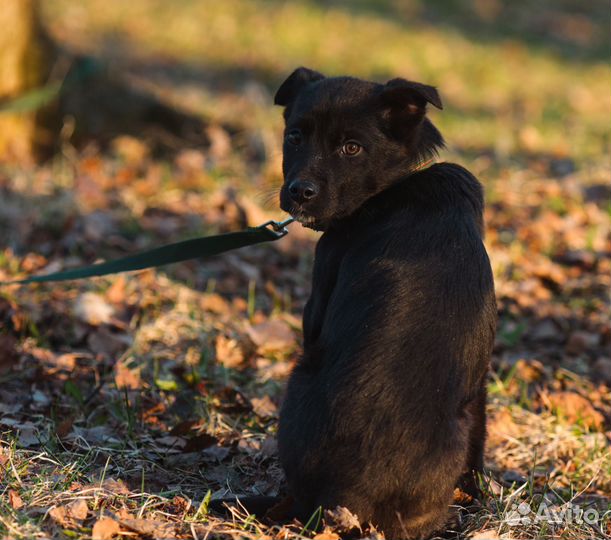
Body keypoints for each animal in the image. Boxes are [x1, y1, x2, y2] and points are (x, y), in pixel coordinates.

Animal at [274, 69, 494, 536]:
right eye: (295, 136)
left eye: (352, 147)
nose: (299, 192)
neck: (398, 182)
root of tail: (349, 501)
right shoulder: (480, 376)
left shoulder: (321, 289)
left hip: (301, 373)